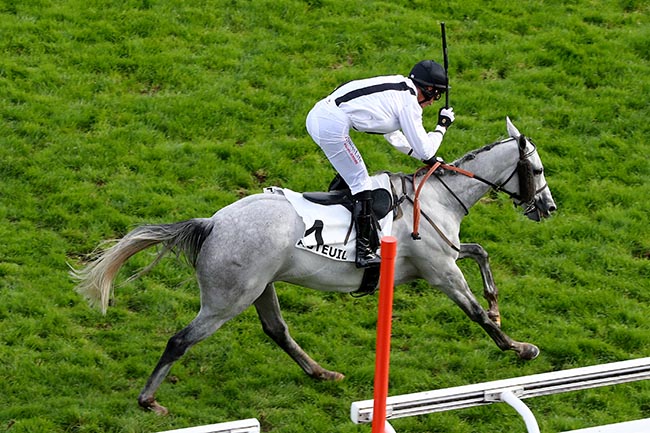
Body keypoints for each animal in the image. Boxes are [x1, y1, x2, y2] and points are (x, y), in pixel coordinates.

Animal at [72, 116, 556, 414]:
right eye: (536, 168)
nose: (549, 207)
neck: (436, 198)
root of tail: (211, 224)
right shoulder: (441, 271)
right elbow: (474, 312)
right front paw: (519, 347)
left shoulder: (443, 258)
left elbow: (481, 256)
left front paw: (497, 305)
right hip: (227, 300)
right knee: (179, 340)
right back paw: (148, 400)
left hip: (259, 288)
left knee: (277, 331)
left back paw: (321, 372)